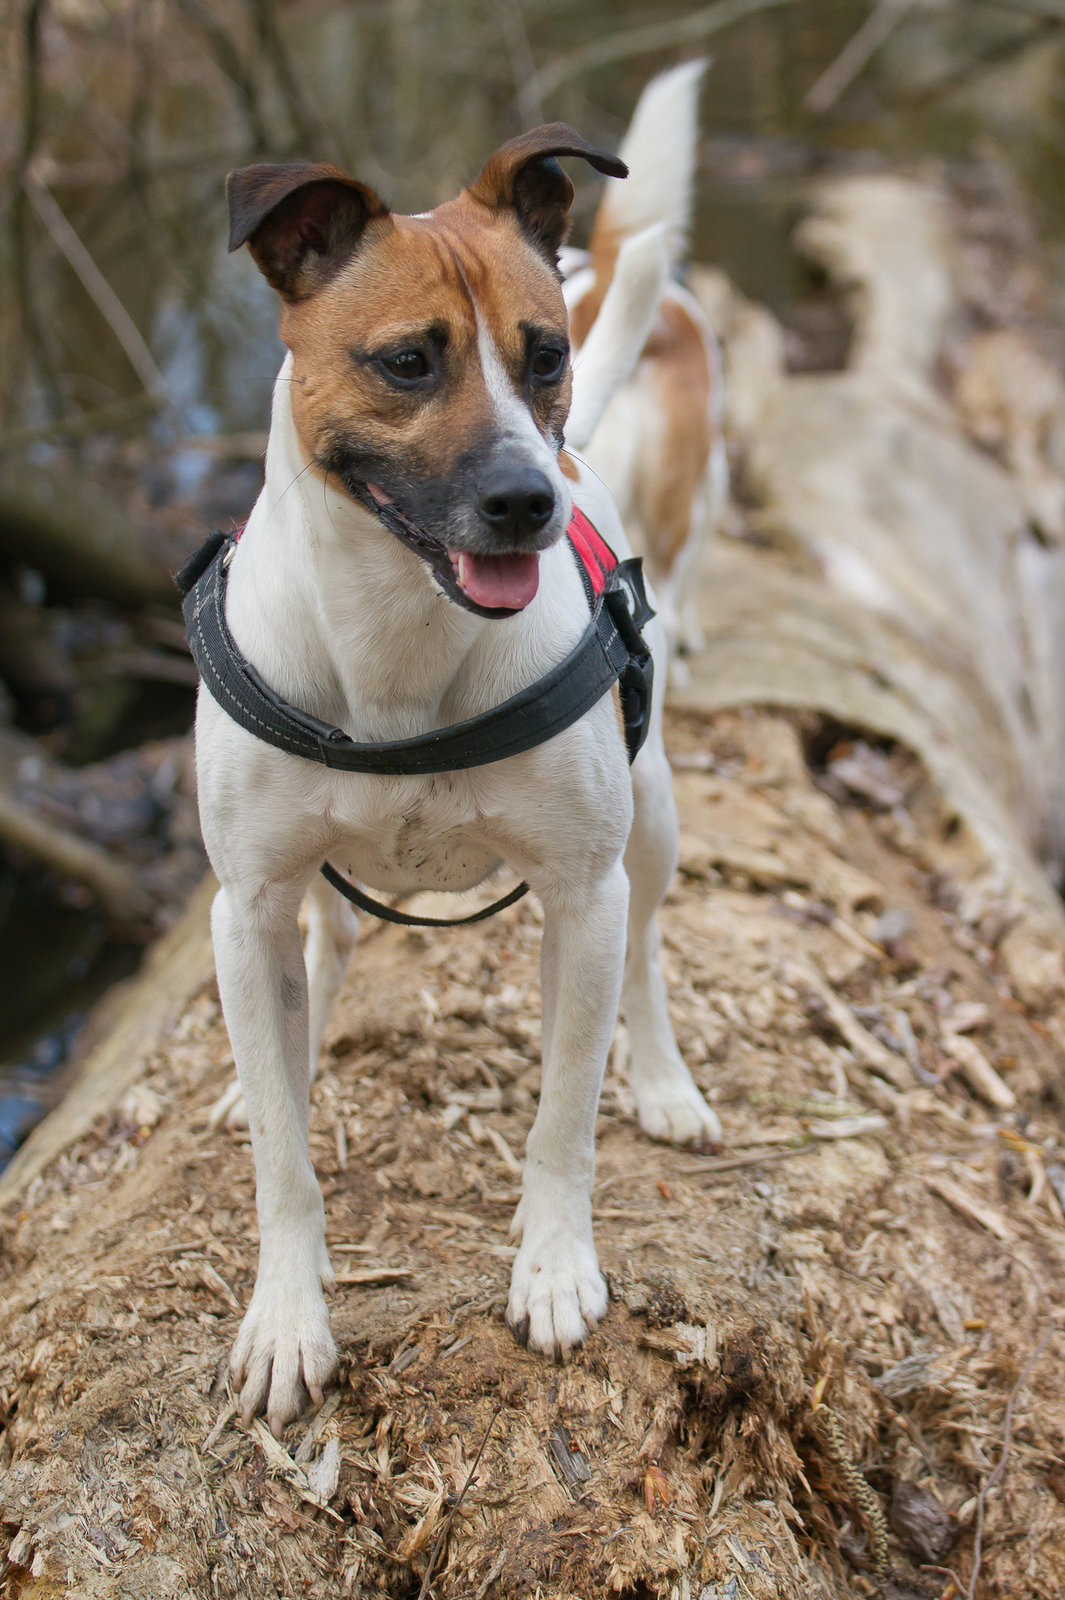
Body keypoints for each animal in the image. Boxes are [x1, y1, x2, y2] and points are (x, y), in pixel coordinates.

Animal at [195, 124, 716, 1433]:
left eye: (547, 355)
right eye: (408, 361)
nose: (530, 499)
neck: (398, 635)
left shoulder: (581, 894)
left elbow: (564, 1114)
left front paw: (554, 1263)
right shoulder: (248, 900)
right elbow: (282, 1154)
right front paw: (286, 1314)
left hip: (651, 827)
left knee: (644, 953)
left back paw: (663, 1078)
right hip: (291, 894)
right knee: (324, 952)